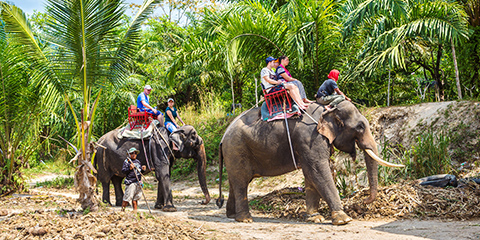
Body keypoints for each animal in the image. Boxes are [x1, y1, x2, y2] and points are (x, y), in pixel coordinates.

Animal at [217, 100, 402, 224]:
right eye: (360, 127)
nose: (364, 202)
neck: (328, 110)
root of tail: (223, 136)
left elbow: (310, 175)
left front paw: (316, 218)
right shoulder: (311, 138)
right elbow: (317, 170)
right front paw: (344, 219)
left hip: (234, 153)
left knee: (235, 182)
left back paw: (232, 216)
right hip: (236, 149)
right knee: (241, 182)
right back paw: (245, 219)